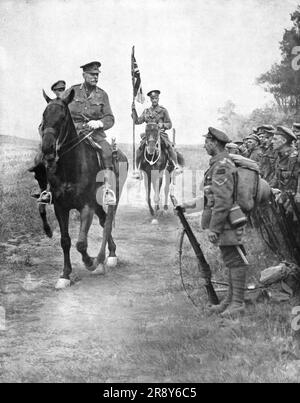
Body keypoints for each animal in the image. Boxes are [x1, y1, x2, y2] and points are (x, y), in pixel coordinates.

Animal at [35, 90, 128, 288]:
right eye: (44, 116)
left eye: (63, 117)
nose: (47, 149)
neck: (71, 167)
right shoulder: (60, 207)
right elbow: (65, 241)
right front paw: (65, 275)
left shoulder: (86, 206)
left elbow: (81, 243)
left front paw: (90, 261)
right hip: (97, 204)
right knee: (104, 220)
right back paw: (110, 253)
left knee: (107, 221)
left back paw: (109, 257)